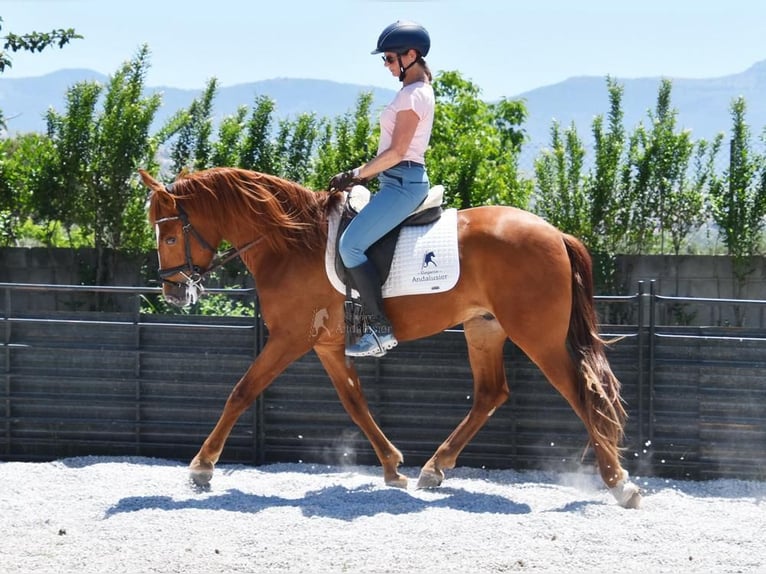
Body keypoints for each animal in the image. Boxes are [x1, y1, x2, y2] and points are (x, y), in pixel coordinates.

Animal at [139, 167, 641, 509]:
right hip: (484, 328)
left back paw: (621, 484)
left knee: (581, 393)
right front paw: (392, 466)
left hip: (537, 336)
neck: (290, 242)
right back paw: (434, 470)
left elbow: (242, 392)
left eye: (169, 236)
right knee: (491, 393)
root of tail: (555, 233)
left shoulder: (290, 338)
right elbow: (356, 404)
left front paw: (202, 467)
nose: (172, 291)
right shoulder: (326, 345)